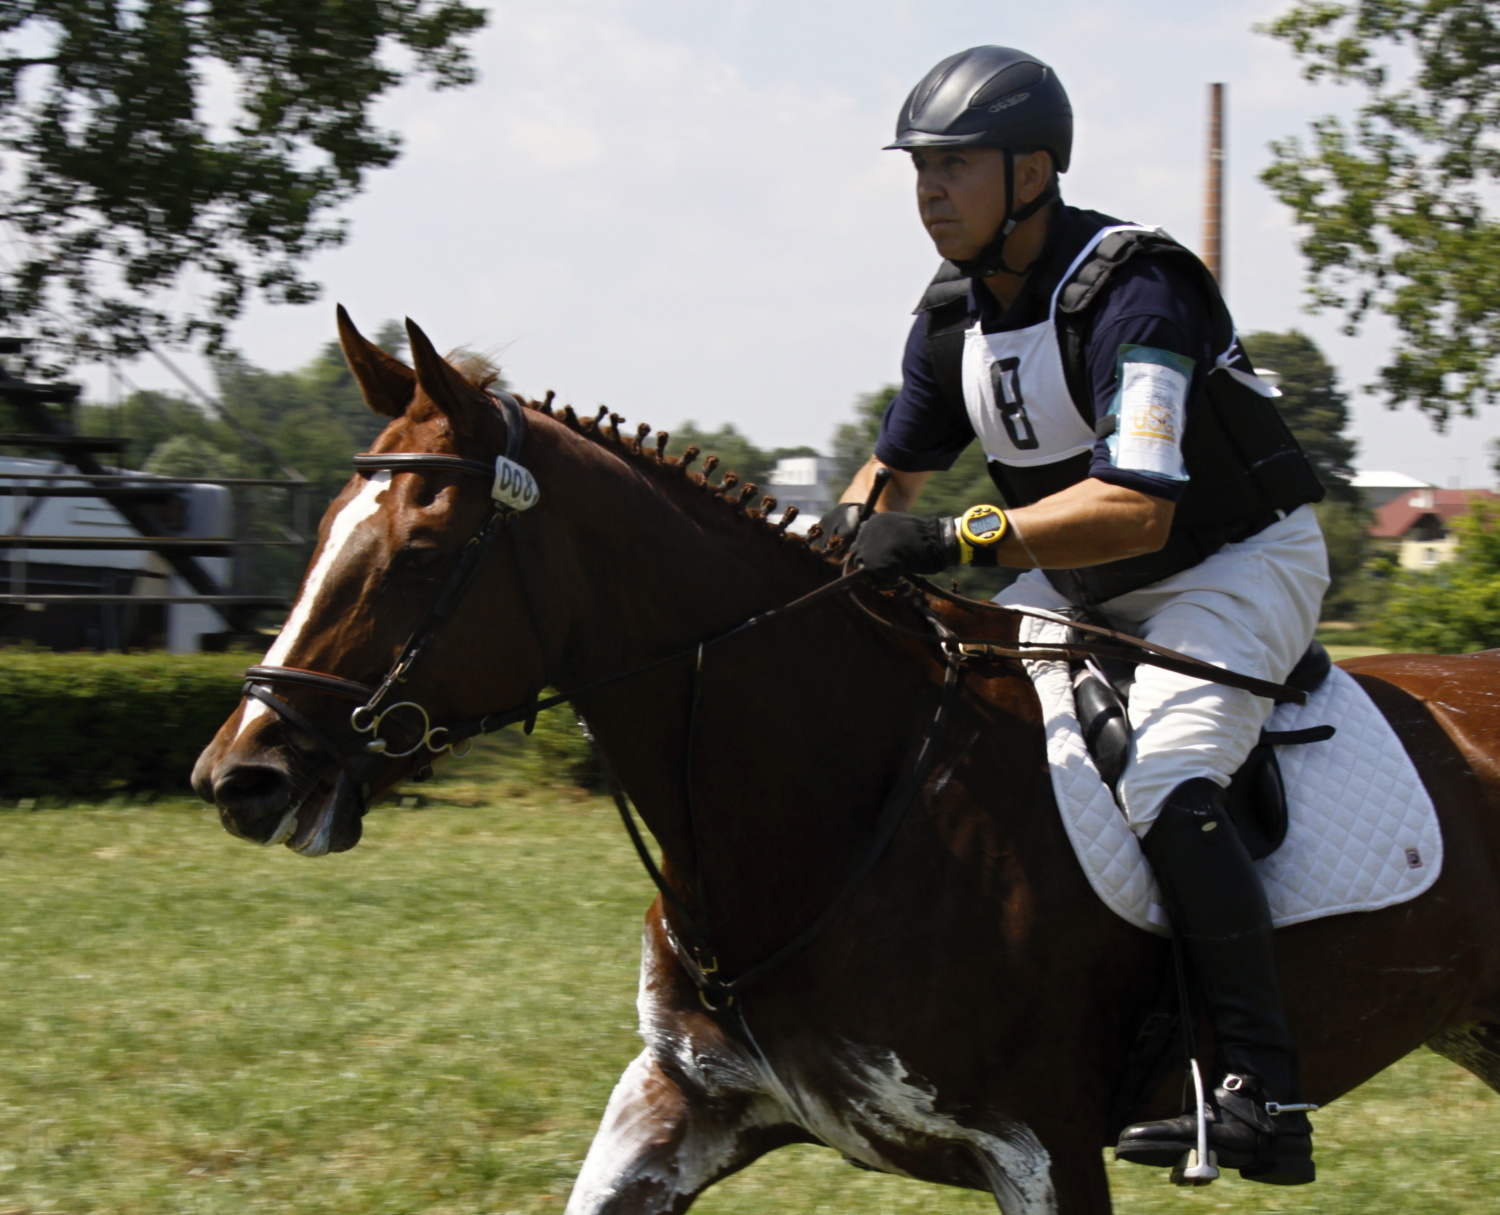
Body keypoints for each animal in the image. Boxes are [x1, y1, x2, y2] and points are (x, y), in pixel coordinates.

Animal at [193, 315, 1500, 1212]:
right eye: (321, 533)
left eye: (418, 554)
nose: (240, 778)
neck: (834, 809)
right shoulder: (682, 1106)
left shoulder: (1042, 1148)